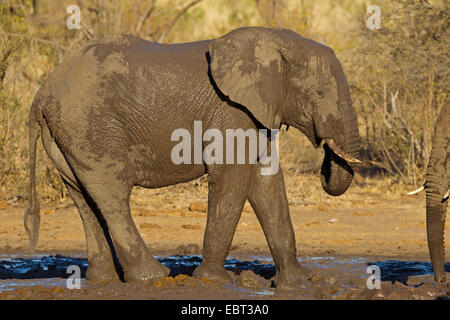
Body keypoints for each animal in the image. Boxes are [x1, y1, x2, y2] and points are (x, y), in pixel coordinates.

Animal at [23, 27, 362, 288]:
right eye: (319, 93)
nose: (324, 162)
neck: (275, 41)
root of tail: (42, 92)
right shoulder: (231, 111)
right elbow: (232, 179)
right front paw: (214, 281)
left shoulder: (258, 112)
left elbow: (268, 184)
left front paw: (299, 281)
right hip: (90, 127)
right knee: (112, 194)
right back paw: (153, 277)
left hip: (67, 136)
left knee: (84, 198)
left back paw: (103, 280)